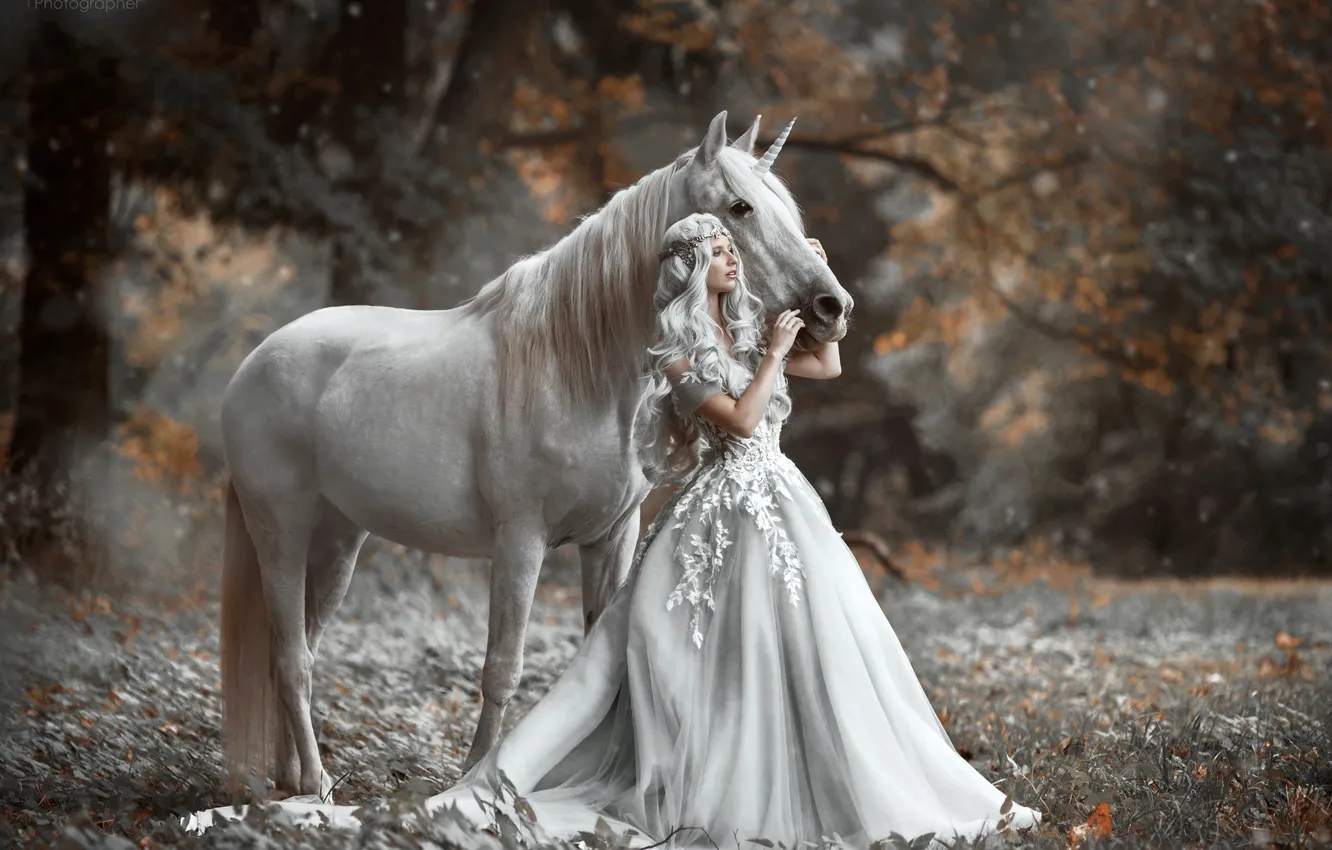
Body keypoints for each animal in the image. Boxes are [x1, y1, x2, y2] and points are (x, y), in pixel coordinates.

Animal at [219, 110, 854, 801]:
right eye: (739, 208)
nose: (832, 307)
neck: (576, 366)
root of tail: (256, 362)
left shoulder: (609, 539)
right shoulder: (520, 541)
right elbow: (502, 666)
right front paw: (475, 780)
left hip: (338, 540)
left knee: (300, 648)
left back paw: (292, 780)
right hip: (280, 530)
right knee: (290, 656)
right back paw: (314, 783)